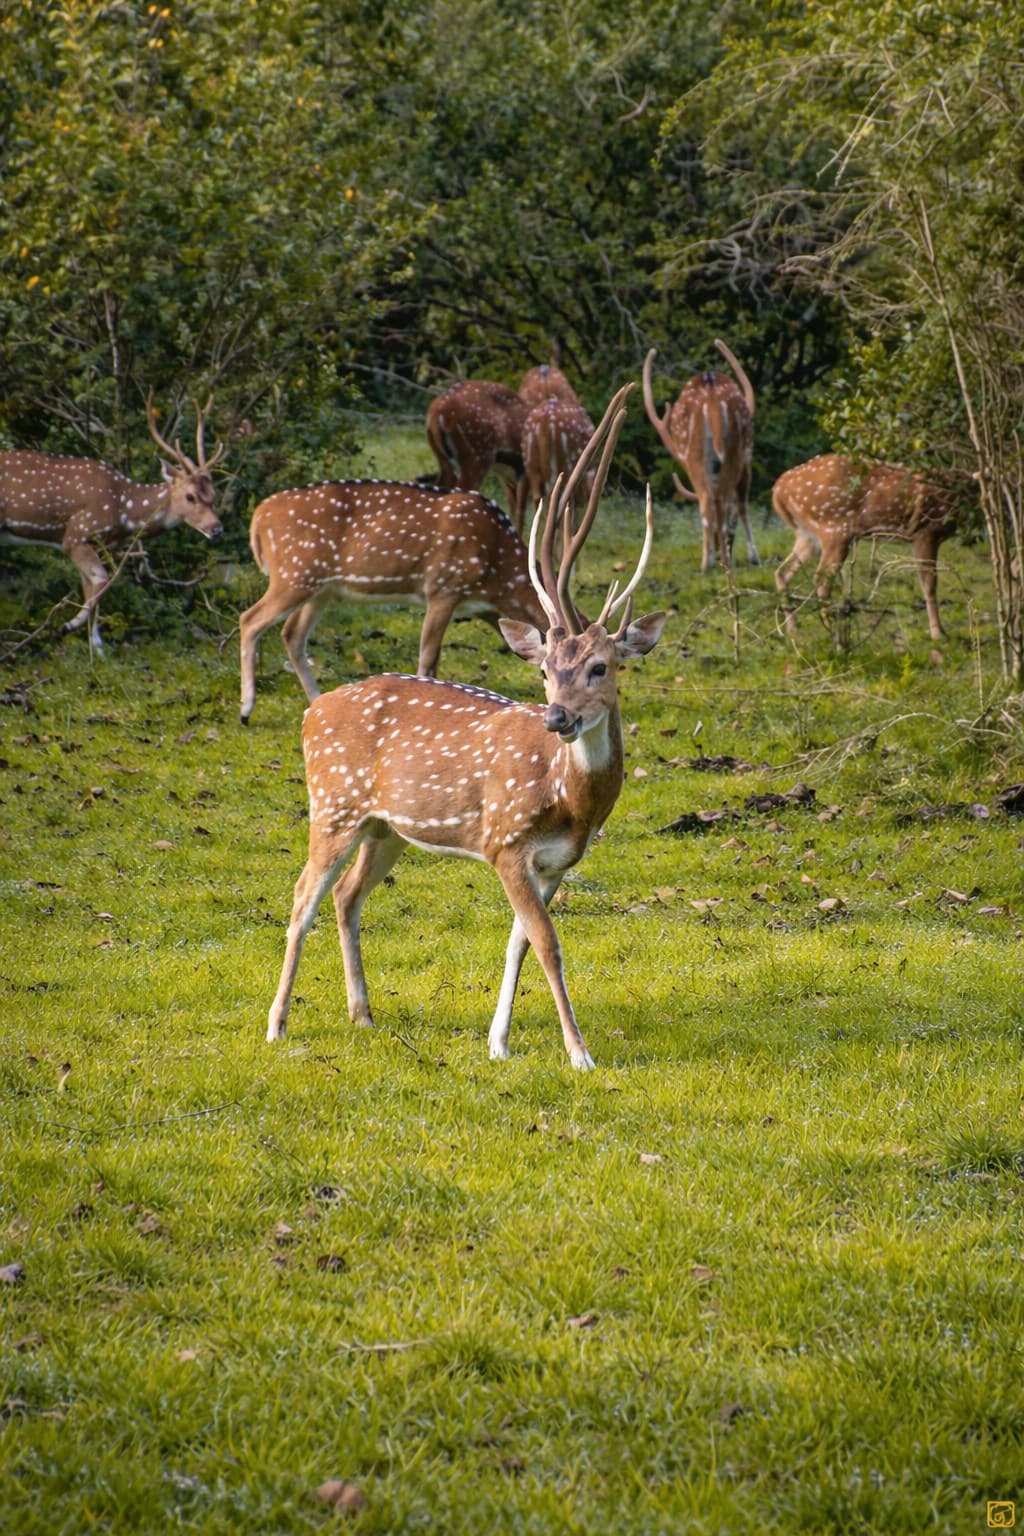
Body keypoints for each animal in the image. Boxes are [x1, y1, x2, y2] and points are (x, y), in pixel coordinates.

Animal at [0, 396, 225, 649]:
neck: (122, 509)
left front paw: (95, 647)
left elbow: (90, 588)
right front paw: (70, 625)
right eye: (190, 496)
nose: (217, 528)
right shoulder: (76, 534)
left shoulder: (94, 544)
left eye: (213, 495)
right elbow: (103, 579)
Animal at [238, 481, 549, 723]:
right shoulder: (443, 587)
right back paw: (246, 710)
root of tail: (258, 517)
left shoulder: (483, 608)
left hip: (321, 589)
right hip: (293, 575)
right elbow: (428, 660)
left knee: (291, 633)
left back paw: (316, 699)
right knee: (250, 619)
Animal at [642, 340, 760, 573]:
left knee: (709, 499)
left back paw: (710, 562)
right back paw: (722, 560)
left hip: (699, 456)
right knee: (723, 498)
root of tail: (712, 399)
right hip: (736, 453)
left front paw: (748, 556)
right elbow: (739, 506)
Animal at [772, 453, 963, 641]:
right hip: (834, 528)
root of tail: (778, 489)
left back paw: (793, 627)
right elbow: (929, 584)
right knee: (820, 579)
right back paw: (833, 631)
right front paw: (938, 634)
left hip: (807, 535)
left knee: (782, 572)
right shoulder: (927, 531)